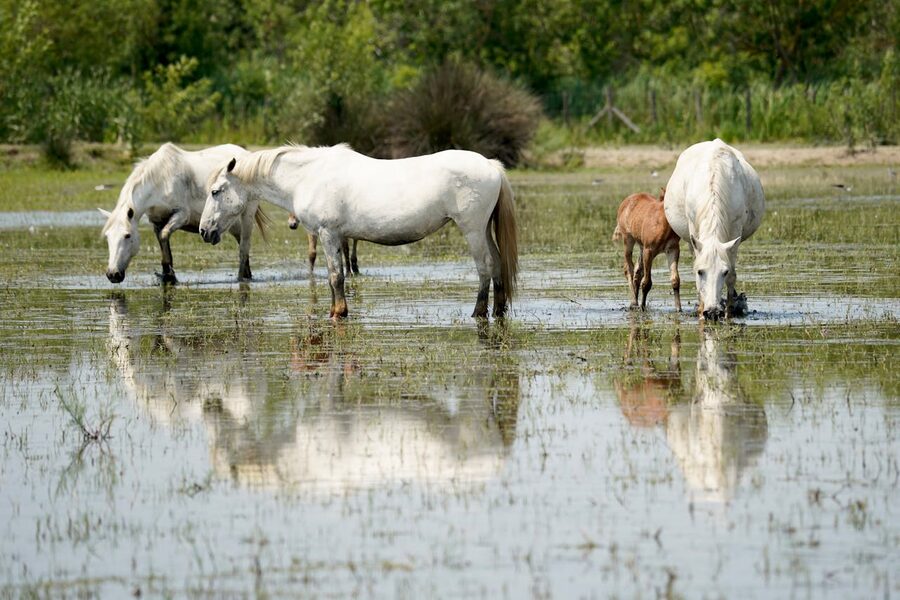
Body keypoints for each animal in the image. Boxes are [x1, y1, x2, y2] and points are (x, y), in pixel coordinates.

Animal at [99, 142, 269, 284]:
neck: (161, 180)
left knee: (244, 245)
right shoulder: (157, 222)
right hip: (230, 223)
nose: (112, 274)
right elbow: (163, 243)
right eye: (107, 237)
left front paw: (169, 275)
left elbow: (165, 235)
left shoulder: (181, 215)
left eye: (127, 236)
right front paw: (167, 275)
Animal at [200, 144, 518, 319]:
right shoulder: (336, 237)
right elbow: (335, 276)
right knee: (497, 263)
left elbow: (335, 277)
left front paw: (338, 313)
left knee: (485, 267)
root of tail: (490, 165)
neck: (307, 176)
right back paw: (498, 310)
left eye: (215, 191)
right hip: (484, 230)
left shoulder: (328, 234)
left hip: (472, 229)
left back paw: (478, 312)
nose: (204, 231)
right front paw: (334, 310)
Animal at [663, 139, 765, 319]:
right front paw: (701, 311)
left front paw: (729, 313)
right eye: (700, 272)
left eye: (723, 272)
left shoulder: (735, 233)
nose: (712, 312)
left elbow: (732, 276)